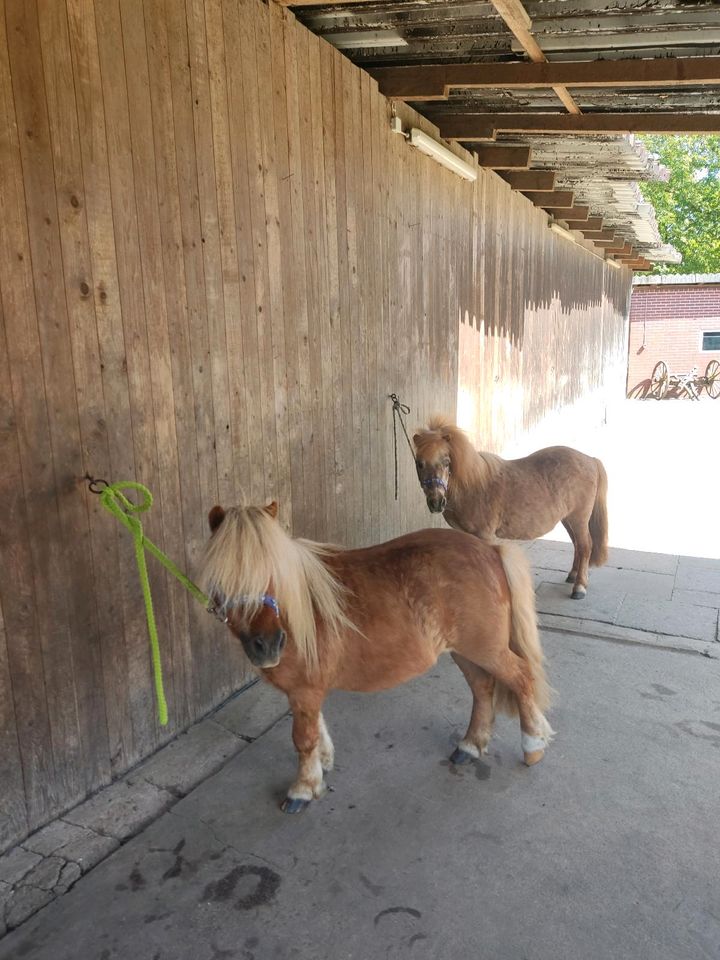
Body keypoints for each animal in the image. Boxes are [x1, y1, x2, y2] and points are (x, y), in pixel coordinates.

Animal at [200, 502, 556, 808]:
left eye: (275, 570)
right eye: (223, 578)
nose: (268, 645)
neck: (301, 610)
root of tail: (491, 550)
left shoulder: (304, 690)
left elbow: (303, 738)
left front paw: (303, 789)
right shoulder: (307, 692)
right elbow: (316, 728)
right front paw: (323, 764)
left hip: (488, 649)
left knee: (521, 678)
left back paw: (533, 747)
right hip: (466, 651)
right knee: (482, 689)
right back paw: (470, 746)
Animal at [410, 420, 608, 600]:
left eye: (446, 462)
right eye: (419, 463)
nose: (436, 502)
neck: (473, 485)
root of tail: (590, 460)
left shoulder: (485, 535)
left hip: (579, 518)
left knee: (585, 546)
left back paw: (579, 587)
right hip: (568, 519)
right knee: (577, 545)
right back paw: (573, 576)